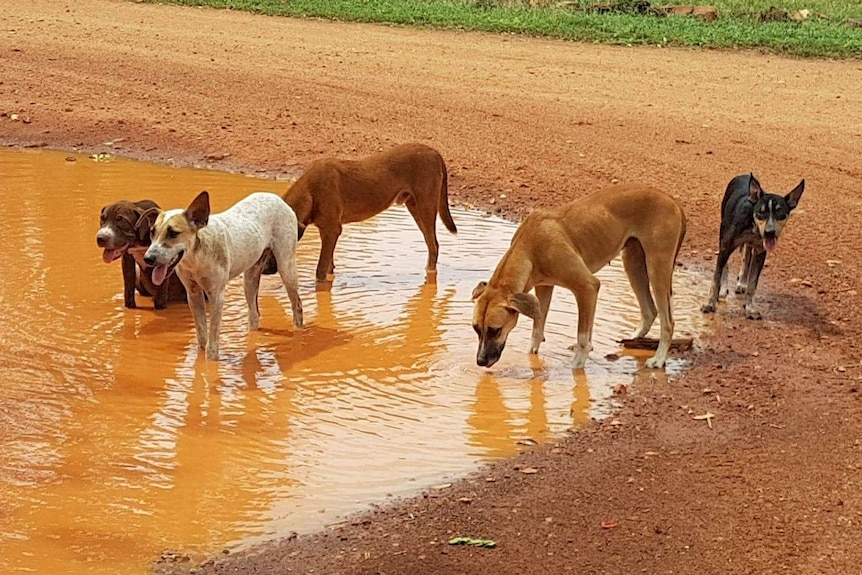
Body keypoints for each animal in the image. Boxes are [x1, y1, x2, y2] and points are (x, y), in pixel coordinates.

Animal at [142, 191, 304, 360]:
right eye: (152, 232)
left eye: (173, 233)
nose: (148, 259)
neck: (197, 258)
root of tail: (276, 197)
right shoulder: (193, 295)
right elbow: (201, 333)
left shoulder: (216, 295)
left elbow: (213, 335)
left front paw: (211, 360)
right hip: (250, 279)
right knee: (254, 315)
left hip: (286, 268)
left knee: (297, 306)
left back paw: (298, 333)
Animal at [472, 186, 688, 374]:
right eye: (476, 329)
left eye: (495, 330)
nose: (480, 361)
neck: (529, 246)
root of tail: (673, 201)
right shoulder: (544, 288)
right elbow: (537, 329)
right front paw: (532, 357)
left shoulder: (587, 287)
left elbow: (582, 336)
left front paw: (577, 365)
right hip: (633, 263)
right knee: (650, 310)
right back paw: (634, 340)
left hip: (656, 267)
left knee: (668, 322)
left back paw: (658, 359)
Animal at [704, 173, 808, 322]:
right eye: (760, 212)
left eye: (780, 213)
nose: (769, 232)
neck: (752, 226)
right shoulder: (726, 247)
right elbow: (716, 278)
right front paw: (710, 303)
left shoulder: (760, 253)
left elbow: (752, 284)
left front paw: (750, 309)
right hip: (723, 235)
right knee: (726, 265)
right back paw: (723, 290)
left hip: (749, 247)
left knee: (746, 258)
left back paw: (742, 283)